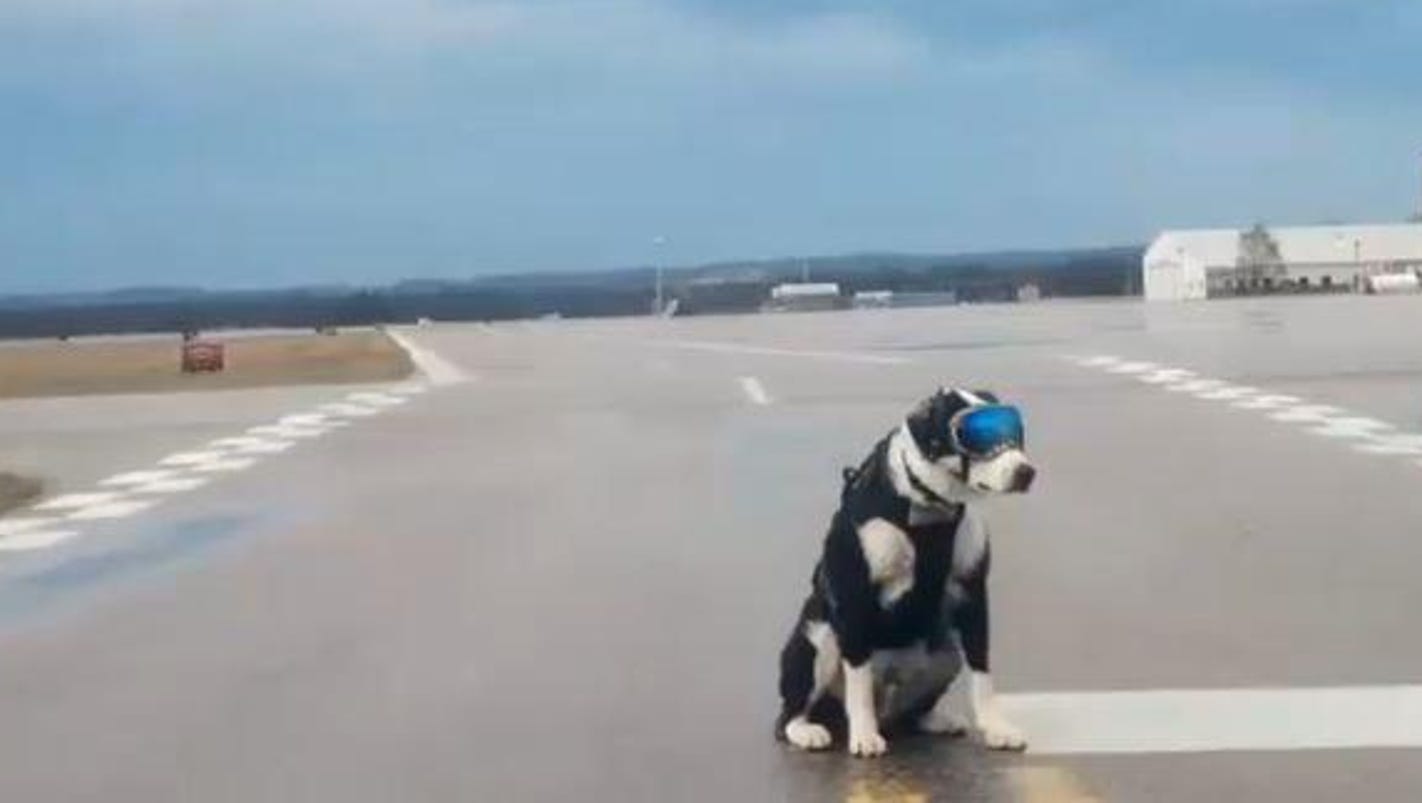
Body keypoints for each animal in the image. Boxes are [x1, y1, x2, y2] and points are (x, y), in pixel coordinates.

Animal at [779, 383, 1035, 756]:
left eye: (1014, 433)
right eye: (975, 436)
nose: (1026, 471)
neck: (929, 506)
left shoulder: (972, 592)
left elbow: (982, 670)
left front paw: (996, 727)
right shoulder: (854, 595)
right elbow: (858, 680)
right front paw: (864, 734)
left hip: (945, 650)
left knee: (914, 710)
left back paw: (933, 720)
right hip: (819, 639)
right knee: (790, 714)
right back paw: (808, 730)